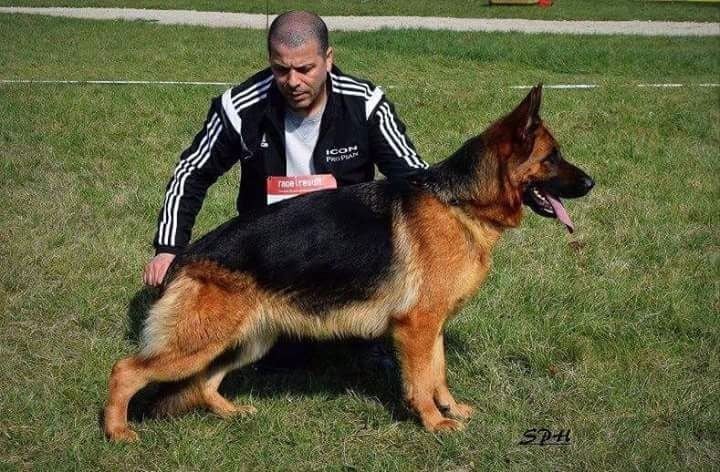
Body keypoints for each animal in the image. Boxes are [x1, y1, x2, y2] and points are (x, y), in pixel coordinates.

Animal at [104, 85, 592, 442]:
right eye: (552, 157)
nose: (592, 182)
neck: (461, 203)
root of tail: (185, 257)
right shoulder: (416, 327)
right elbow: (421, 381)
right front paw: (433, 423)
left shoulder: (431, 326)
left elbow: (438, 373)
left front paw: (450, 409)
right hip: (199, 343)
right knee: (125, 370)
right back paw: (118, 432)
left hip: (246, 340)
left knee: (205, 383)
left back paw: (232, 413)